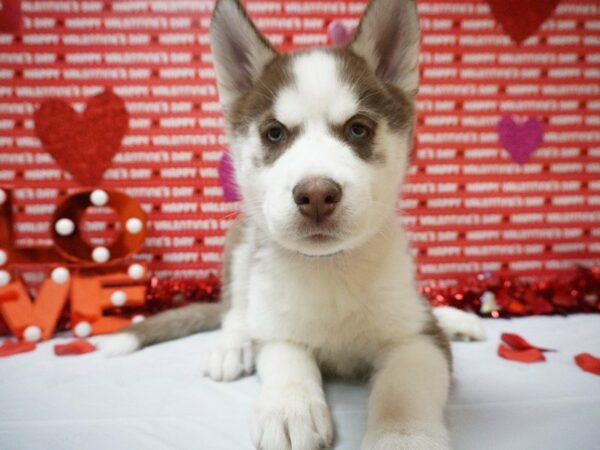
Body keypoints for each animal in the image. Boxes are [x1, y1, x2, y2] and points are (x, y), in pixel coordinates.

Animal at [105, 1, 486, 448]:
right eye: (274, 134)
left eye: (358, 128)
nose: (317, 195)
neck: (330, 269)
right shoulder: (278, 330)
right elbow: (285, 357)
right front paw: (290, 407)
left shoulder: (418, 337)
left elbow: (403, 389)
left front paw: (402, 435)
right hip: (241, 242)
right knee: (237, 308)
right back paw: (231, 344)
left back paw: (460, 318)